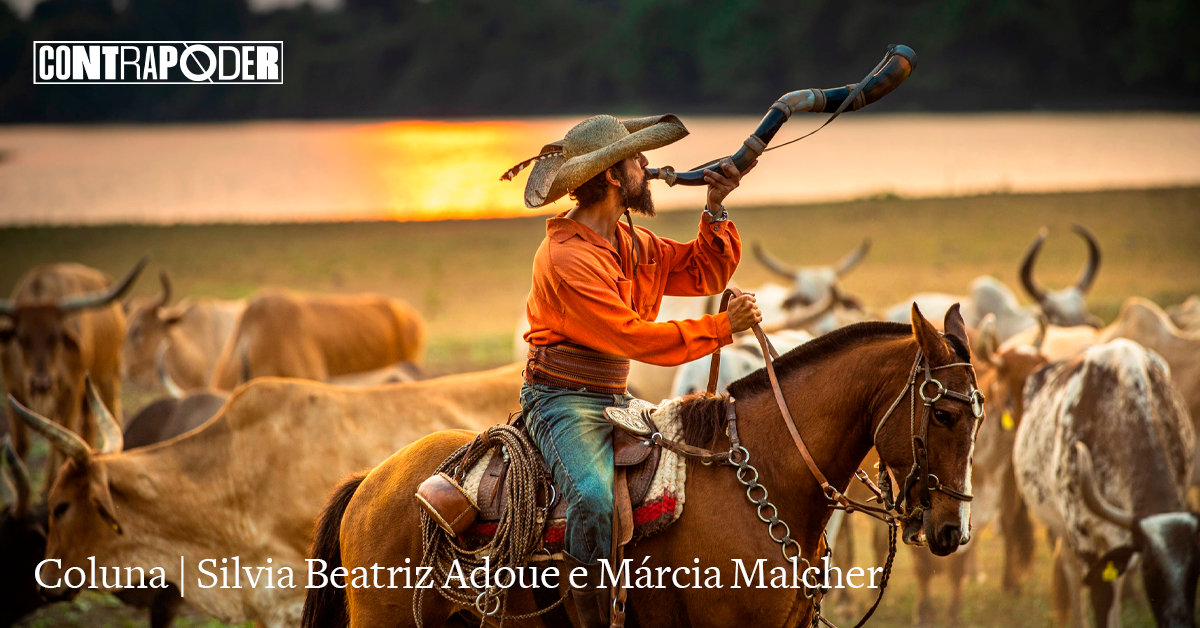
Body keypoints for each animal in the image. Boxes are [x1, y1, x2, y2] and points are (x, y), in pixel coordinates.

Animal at [1, 260, 145, 492]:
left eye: (56, 336)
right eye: (22, 338)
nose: (41, 383)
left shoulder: (73, 388)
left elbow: (65, 437)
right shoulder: (11, 388)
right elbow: (22, 444)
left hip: (108, 375)